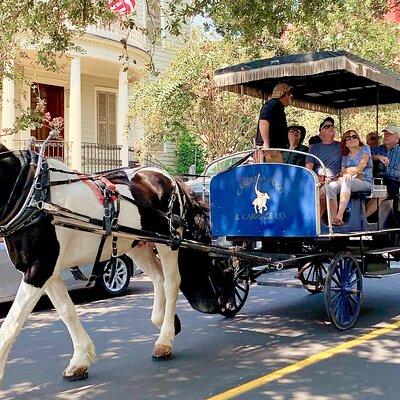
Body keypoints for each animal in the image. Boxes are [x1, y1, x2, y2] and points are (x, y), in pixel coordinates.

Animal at [0, 145, 219, 382]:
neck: (34, 195)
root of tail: (170, 177)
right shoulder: (47, 271)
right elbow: (67, 311)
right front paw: (80, 360)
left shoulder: (40, 268)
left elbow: (12, 325)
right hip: (136, 244)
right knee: (158, 278)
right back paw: (163, 322)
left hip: (169, 243)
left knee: (171, 283)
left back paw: (164, 341)